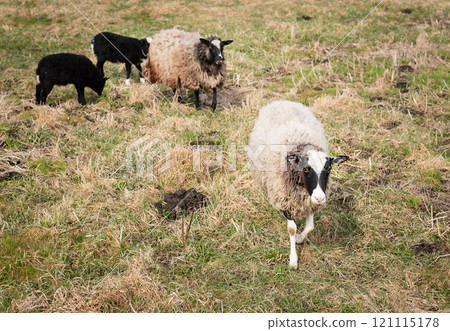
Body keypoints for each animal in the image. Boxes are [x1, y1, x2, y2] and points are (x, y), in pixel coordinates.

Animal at [248, 101, 350, 270]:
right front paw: (293, 260)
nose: (320, 198)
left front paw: (299, 239)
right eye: (306, 169)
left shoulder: (309, 201)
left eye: (328, 168)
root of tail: (282, 101)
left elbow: (310, 228)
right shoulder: (286, 201)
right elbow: (291, 229)